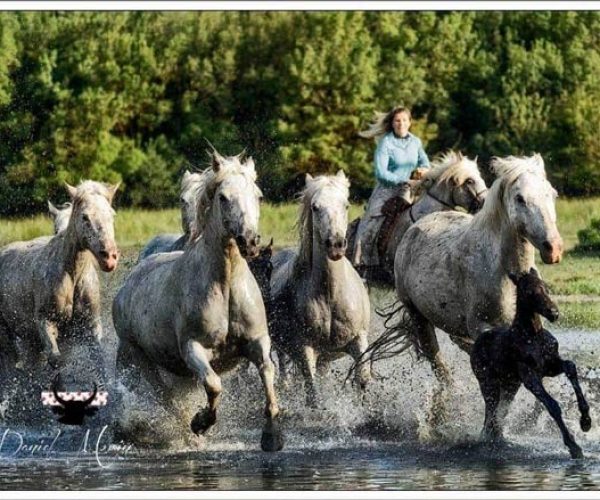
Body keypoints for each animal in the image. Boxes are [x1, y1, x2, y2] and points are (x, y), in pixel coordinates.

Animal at [113, 150, 284, 452]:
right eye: (223, 197)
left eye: (259, 195)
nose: (250, 241)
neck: (226, 283)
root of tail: (126, 287)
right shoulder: (194, 349)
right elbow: (214, 385)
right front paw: (201, 422)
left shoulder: (258, 341)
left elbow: (267, 373)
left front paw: (272, 436)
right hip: (140, 359)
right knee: (167, 400)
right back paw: (188, 434)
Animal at [270, 172, 372, 406]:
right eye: (315, 207)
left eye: (346, 205)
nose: (335, 244)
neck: (331, 295)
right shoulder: (306, 348)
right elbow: (313, 391)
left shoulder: (359, 338)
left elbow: (362, 378)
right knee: (284, 368)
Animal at [380, 154, 564, 416]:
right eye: (520, 198)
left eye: (552, 194)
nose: (554, 248)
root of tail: (416, 226)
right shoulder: (484, 329)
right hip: (419, 318)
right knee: (439, 365)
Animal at [472, 268, 592, 458]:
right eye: (529, 292)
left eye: (546, 288)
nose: (554, 313)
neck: (533, 334)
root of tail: (476, 344)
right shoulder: (529, 375)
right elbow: (552, 405)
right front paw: (574, 446)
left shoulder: (550, 366)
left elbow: (571, 367)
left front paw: (586, 421)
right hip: (488, 383)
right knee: (491, 416)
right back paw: (489, 441)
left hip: (510, 385)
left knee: (497, 415)